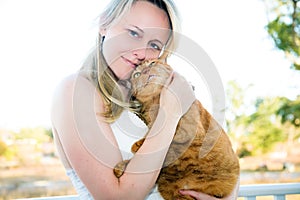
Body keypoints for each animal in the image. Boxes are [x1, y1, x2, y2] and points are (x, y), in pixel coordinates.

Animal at [113, 59, 240, 198]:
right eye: (136, 74)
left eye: (152, 63)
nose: (146, 70)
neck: (156, 103)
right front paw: (123, 165)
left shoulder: (190, 132)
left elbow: (166, 140)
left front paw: (137, 145)